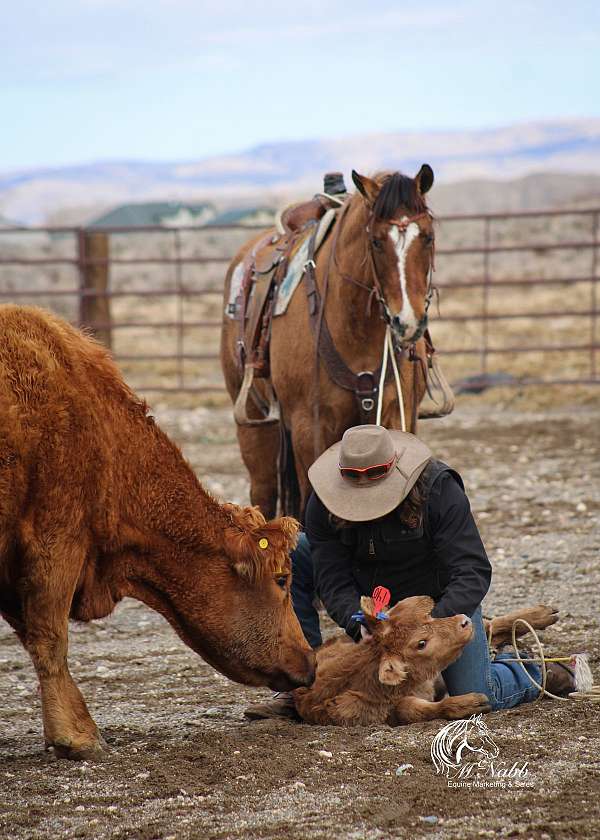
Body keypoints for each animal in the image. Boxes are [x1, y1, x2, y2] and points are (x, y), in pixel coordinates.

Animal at [220, 166, 440, 520]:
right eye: (376, 241)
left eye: (428, 237)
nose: (407, 321)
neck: (356, 332)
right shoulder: (310, 428)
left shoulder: (398, 415)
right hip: (255, 420)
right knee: (263, 492)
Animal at [292, 592, 556, 724]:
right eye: (421, 643)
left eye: (428, 617)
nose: (463, 621)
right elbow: (412, 709)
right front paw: (470, 703)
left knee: (492, 625)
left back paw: (542, 613)